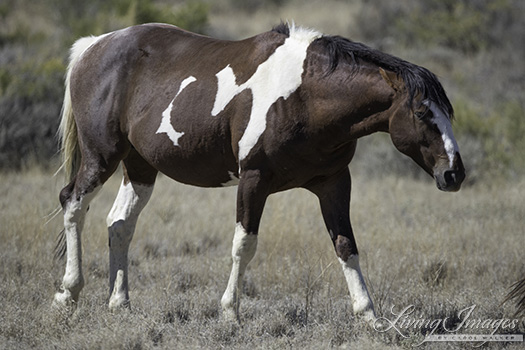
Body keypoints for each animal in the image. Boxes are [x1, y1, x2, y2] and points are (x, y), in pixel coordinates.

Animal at [53, 22, 464, 322]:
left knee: (120, 223)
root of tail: (92, 45)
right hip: (101, 157)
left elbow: (346, 245)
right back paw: (68, 292)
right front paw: (230, 312)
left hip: (140, 166)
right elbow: (244, 245)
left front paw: (369, 316)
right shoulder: (253, 181)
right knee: (73, 204)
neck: (305, 97)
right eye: (422, 112)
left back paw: (118, 301)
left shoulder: (333, 183)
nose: (454, 174)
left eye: (449, 111)